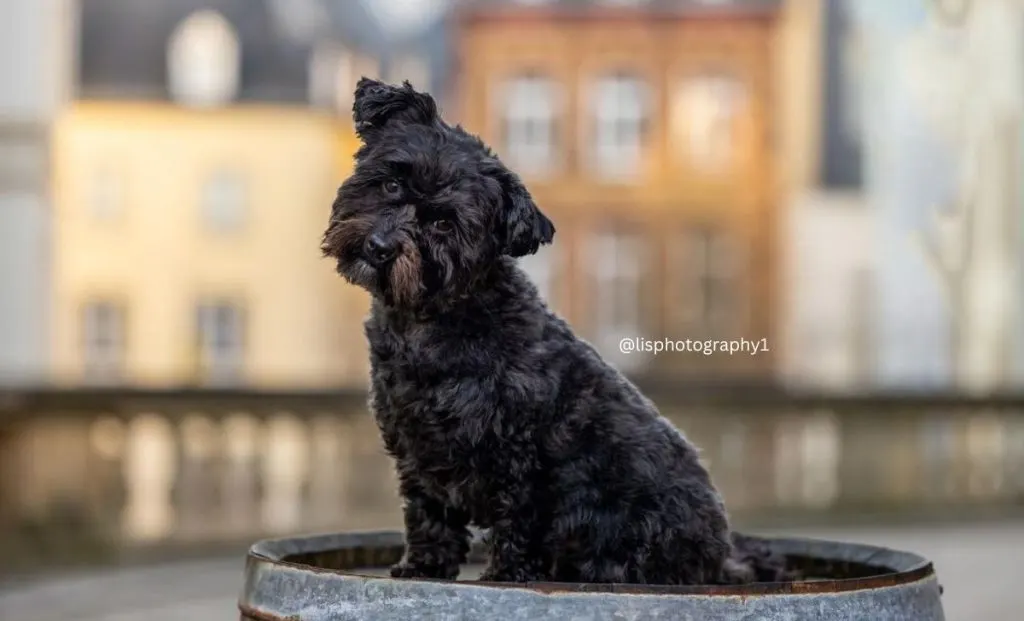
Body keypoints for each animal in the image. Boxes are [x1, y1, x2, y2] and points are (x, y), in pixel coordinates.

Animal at [323, 76, 786, 582]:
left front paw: (505, 577)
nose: (380, 247)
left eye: (445, 224)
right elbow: (428, 513)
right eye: (390, 183)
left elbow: (515, 520)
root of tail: (721, 560)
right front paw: (424, 567)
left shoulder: (517, 453)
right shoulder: (417, 447)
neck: (429, 321)